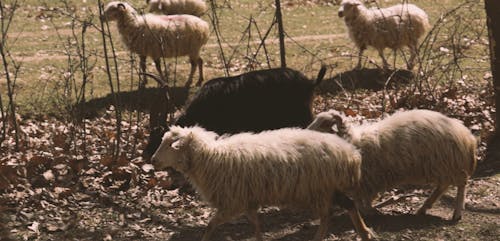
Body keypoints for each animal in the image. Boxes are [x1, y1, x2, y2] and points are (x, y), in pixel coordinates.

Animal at [152, 126, 376, 241]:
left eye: (170, 145)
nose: (153, 160)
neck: (210, 158)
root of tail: (350, 154)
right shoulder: (247, 200)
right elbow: (256, 224)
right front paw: (259, 238)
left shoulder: (233, 203)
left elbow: (210, 225)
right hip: (328, 188)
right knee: (349, 205)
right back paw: (365, 233)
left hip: (318, 189)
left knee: (327, 215)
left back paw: (320, 238)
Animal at [308, 108, 476, 220]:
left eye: (322, 125)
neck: (353, 141)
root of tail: (467, 137)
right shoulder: (364, 182)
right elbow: (360, 198)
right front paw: (367, 210)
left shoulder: (368, 181)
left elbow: (364, 199)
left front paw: (368, 211)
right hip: (441, 166)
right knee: (443, 185)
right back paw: (424, 208)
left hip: (448, 163)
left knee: (461, 183)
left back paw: (457, 213)